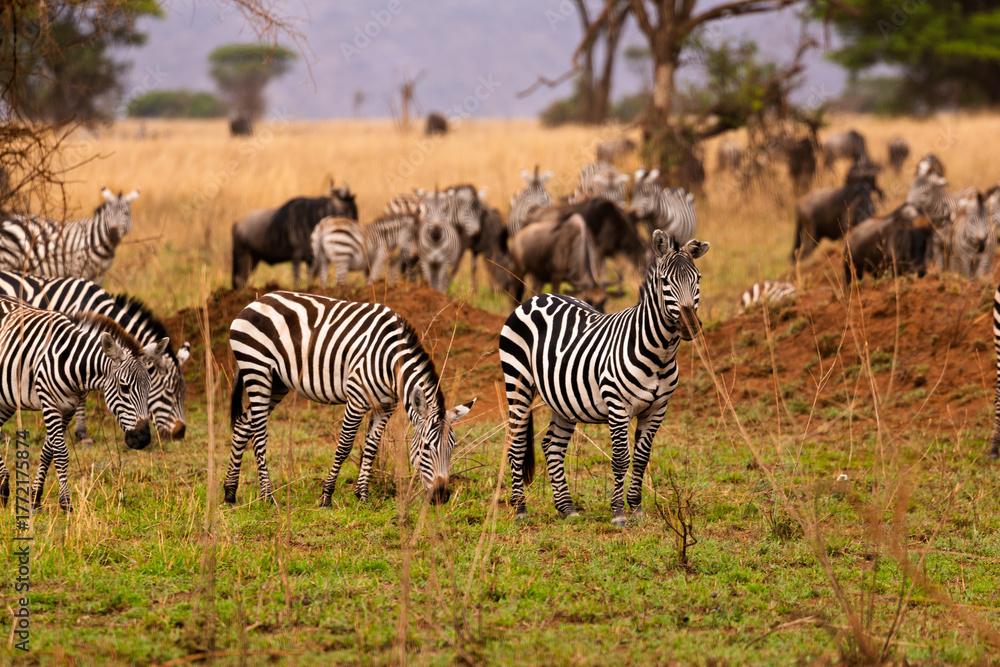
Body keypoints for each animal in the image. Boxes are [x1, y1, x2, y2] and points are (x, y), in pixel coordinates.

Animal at [0, 187, 139, 283]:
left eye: (126, 214)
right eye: (108, 214)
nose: (113, 233)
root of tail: (9, 220)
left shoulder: (99, 274)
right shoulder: (78, 270)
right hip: (7, 260)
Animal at [0, 270, 190, 442]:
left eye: (183, 393)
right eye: (169, 393)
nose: (180, 434)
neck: (92, 304)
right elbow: (82, 395)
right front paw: (81, 433)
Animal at [0, 299, 167, 511]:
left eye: (149, 388)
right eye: (124, 387)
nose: (143, 438)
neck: (71, 364)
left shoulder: (69, 408)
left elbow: (48, 451)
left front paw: (35, 498)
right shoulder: (49, 402)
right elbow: (61, 453)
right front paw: (66, 503)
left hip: (7, 399)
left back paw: (3, 487)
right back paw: (4, 486)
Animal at [226, 291, 475, 506]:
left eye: (452, 448)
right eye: (425, 448)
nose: (441, 497)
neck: (391, 363)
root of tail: (256, 301)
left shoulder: (385, 406)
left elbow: (371, 447)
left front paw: (363, 496)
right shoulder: (356, 398)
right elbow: (345, 446)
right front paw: (326, 496)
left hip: (277, 382)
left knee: (243, 424)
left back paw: (229, 493)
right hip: (257, 370)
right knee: (259, 434)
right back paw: (267, 496)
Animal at [500, 230, 709, 525]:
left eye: (697, 279)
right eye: (664, 281)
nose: (690, 326)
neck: (661, 353)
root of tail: (535, 298)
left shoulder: (658, 409)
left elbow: (641, 458)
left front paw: (636, 508)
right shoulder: (617, 404)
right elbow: (621, 458)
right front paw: (619, 513)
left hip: (563, 399)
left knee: (552, 446)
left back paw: (567, 508)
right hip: (517, 382)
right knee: (516, 444)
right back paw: (520, 509)